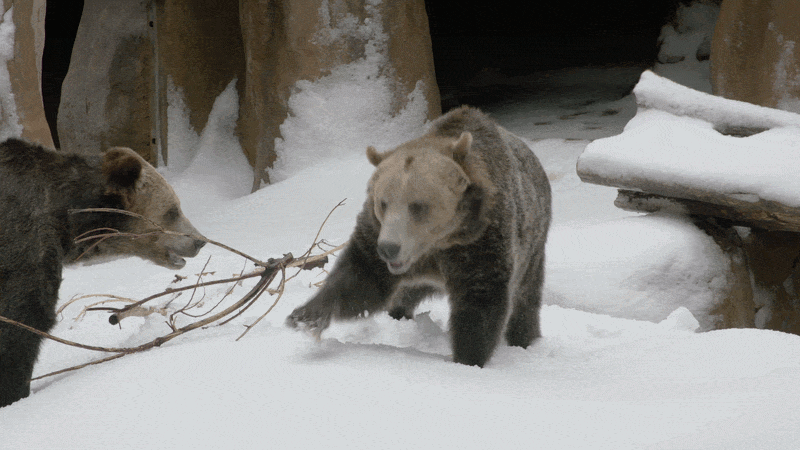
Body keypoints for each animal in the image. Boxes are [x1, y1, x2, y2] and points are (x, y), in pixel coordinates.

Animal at [287, 106, 552, 367]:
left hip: (533, 244)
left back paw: (524, 339)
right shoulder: (375, 233)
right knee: (404, 294)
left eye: (418, 205)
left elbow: (480, 302)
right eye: (383, 202)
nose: (389, 248)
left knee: (525, 297)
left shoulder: (480, 243)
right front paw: (304, 317)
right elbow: (360, 278)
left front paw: (467, 359)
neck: (436, 244)